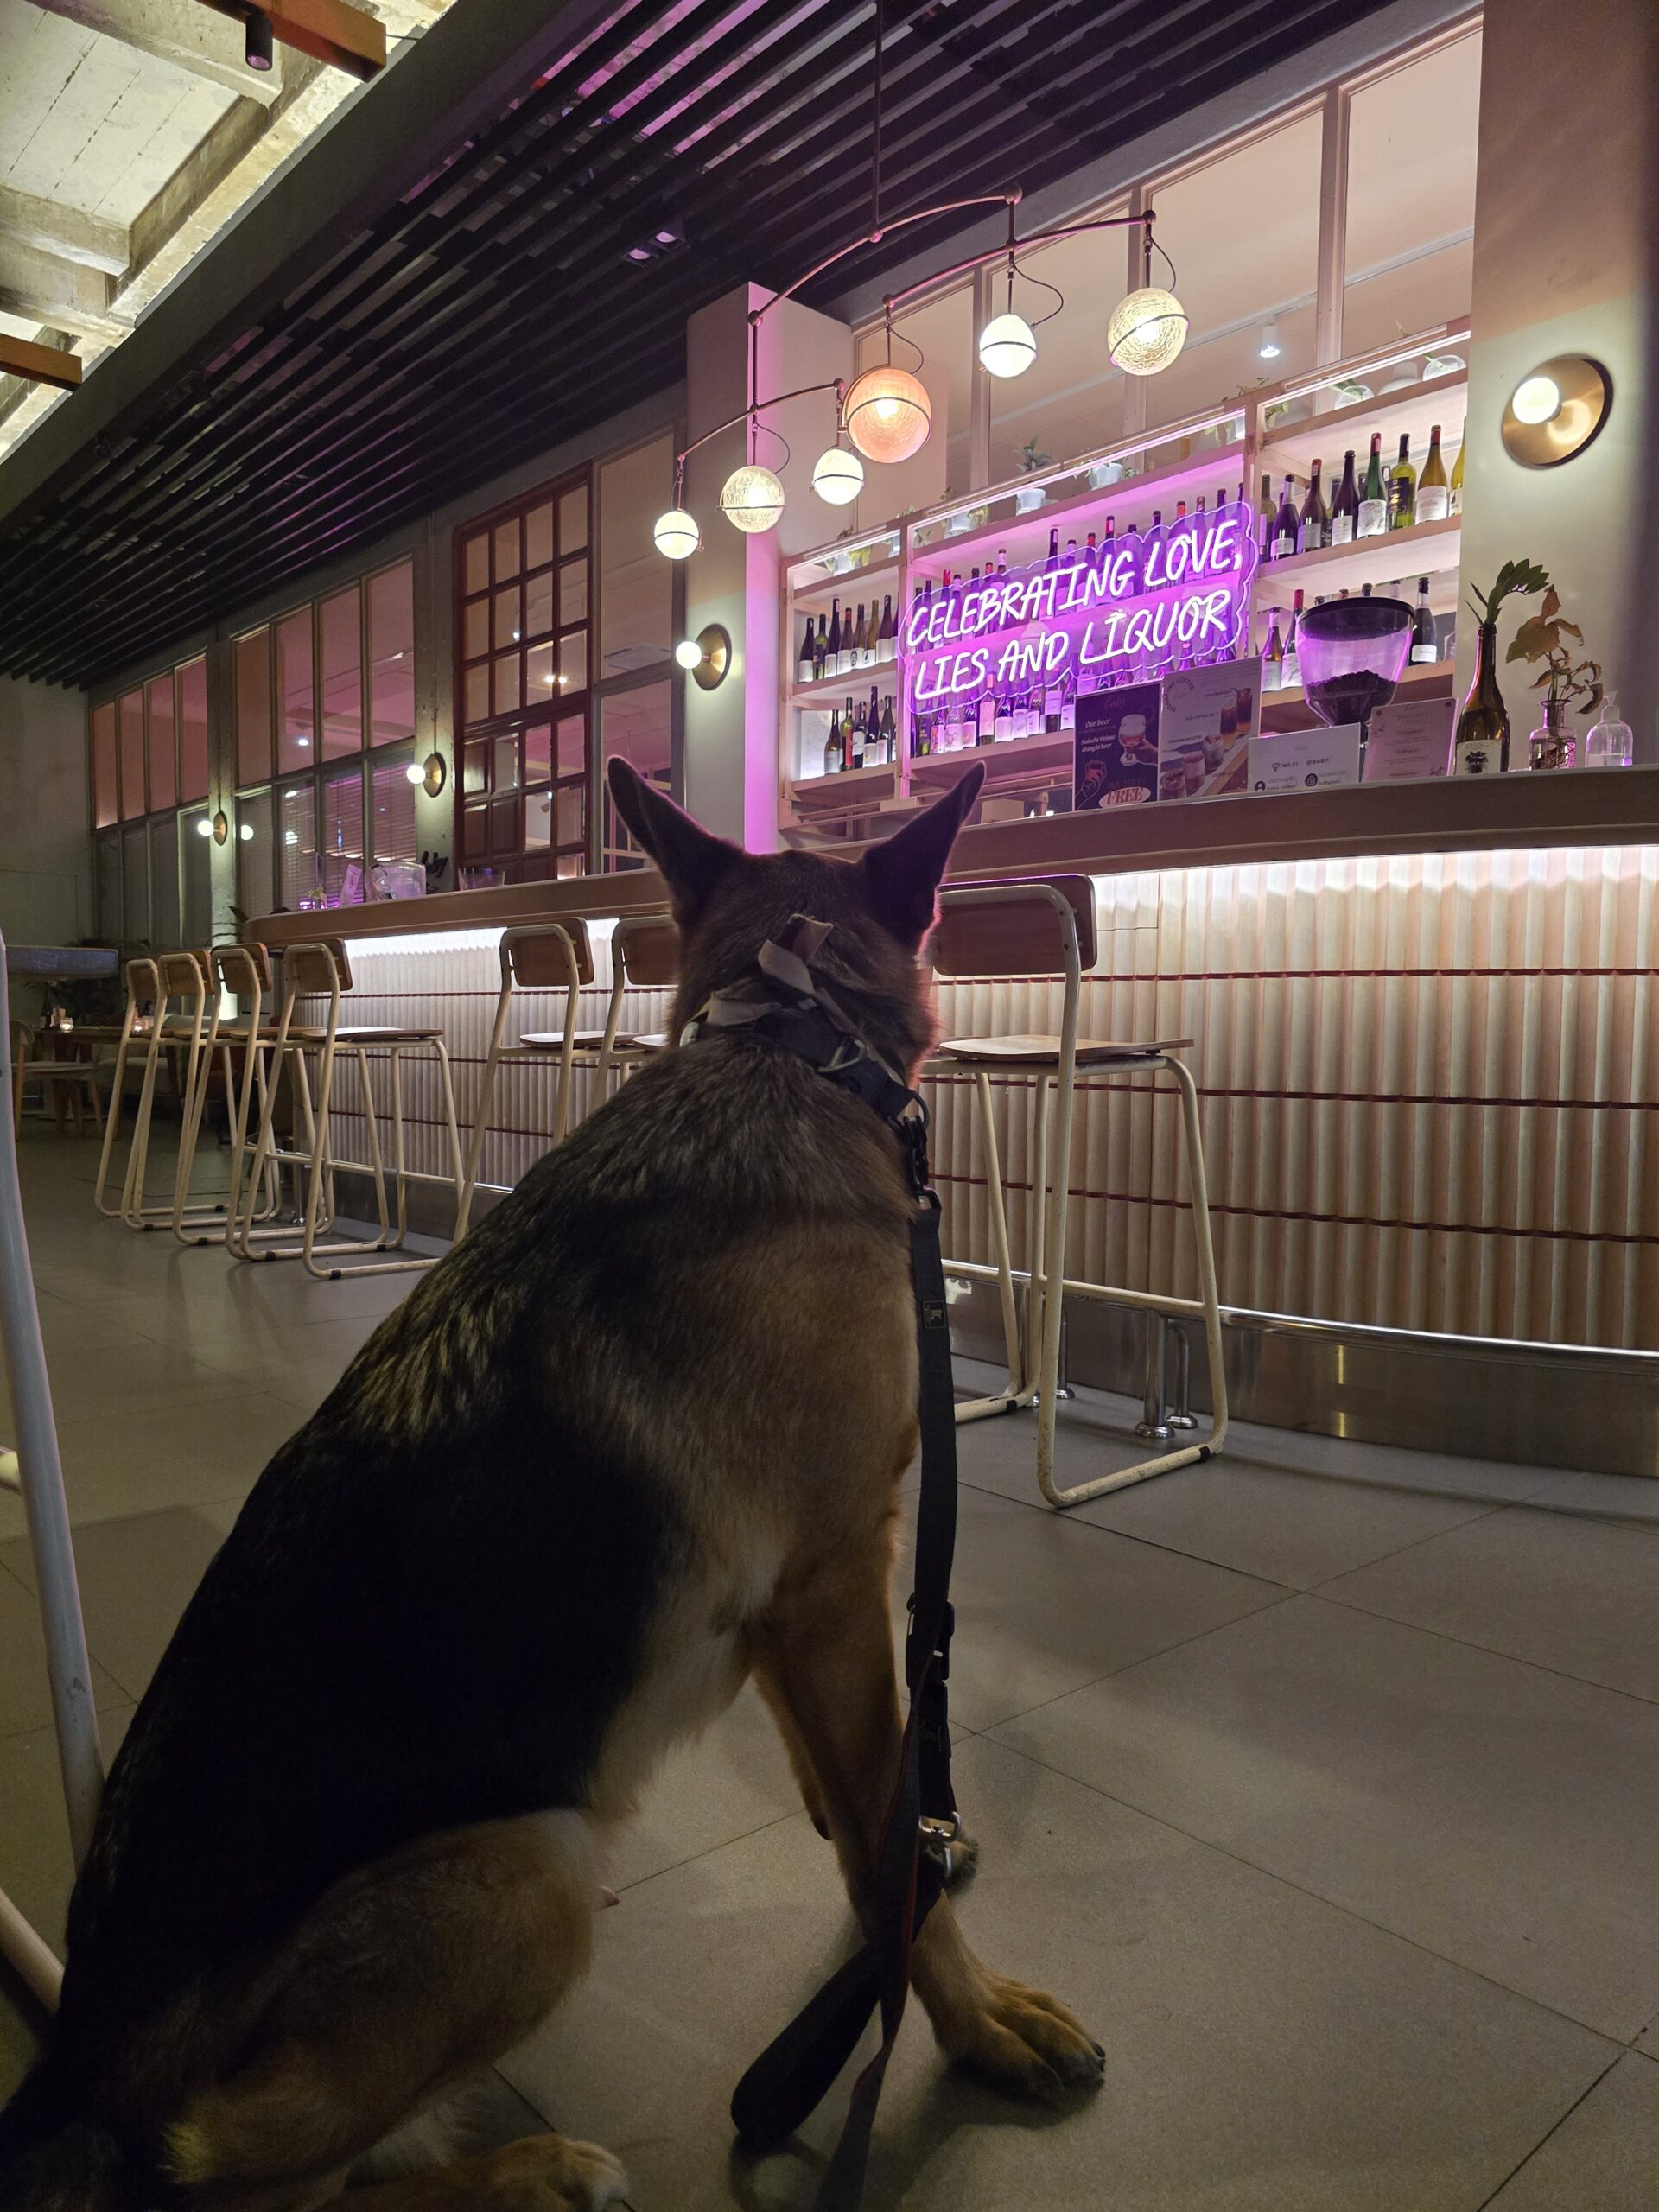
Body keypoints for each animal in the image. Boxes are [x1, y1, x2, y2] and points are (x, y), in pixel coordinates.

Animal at [0, 757, 1101, 2211]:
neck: (781, 1045)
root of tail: (75, 2064)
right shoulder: (835, 1581)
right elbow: (880, 1849)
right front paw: (972, 2016)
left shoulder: (792, 1609)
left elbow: (849, 1804)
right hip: (530, 1878)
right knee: (230, 2179)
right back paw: (528, 2173)